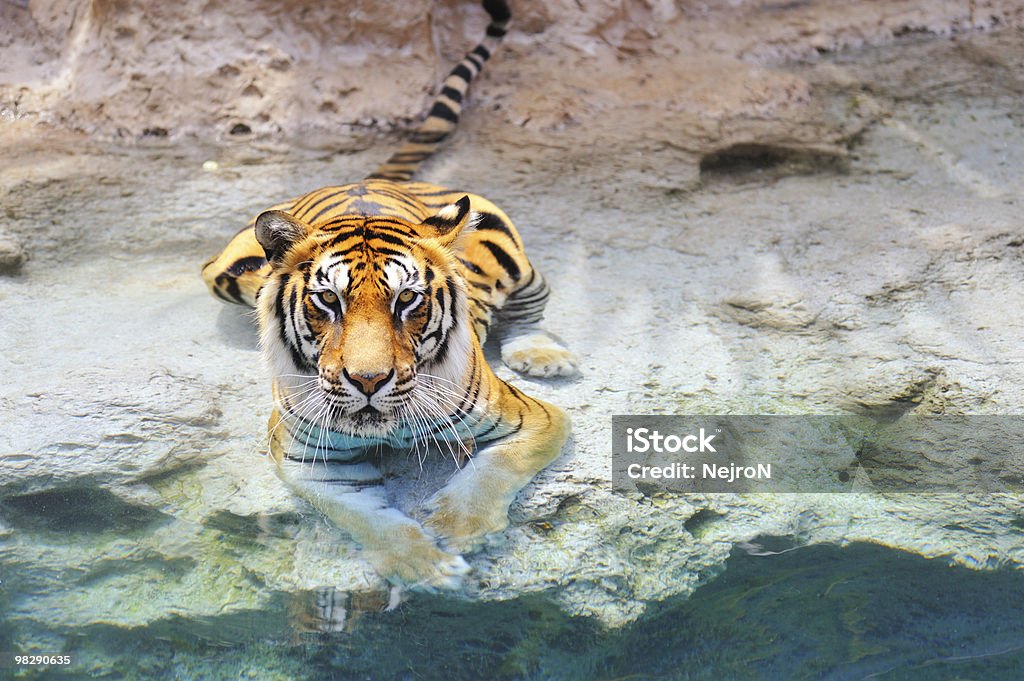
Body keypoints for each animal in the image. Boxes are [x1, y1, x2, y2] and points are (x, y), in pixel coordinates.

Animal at [199, 0, 577, 585]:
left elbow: (493, 469)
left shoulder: (534, 420)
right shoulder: (306, 462)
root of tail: (363, 178)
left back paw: (542, 354)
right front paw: (426, 567)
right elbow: (369, 520)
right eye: (328, 301)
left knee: (533, 304)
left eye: (407, 301)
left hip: (506, 244)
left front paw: (459, 529)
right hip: (225, 271)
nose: (370, 381)